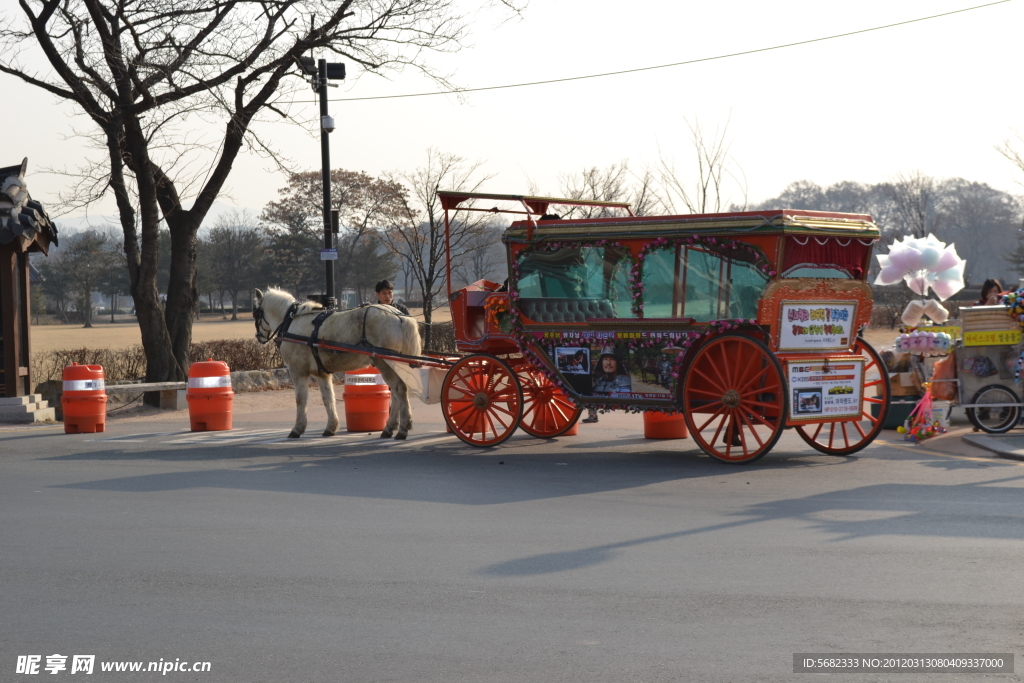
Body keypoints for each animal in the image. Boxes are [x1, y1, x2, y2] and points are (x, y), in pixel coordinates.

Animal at [253, 286, 425, 438]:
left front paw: (297, 428)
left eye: (256, 314)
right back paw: (390, 428)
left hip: (386, 363)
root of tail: (399, 316)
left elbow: (301, 399)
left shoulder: (298, 372)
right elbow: (328, 398)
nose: (258, 337)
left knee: (398, 389)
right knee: (396, 392)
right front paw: (331, 427)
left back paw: (402, 428)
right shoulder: (321, 374)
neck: (291, 321)